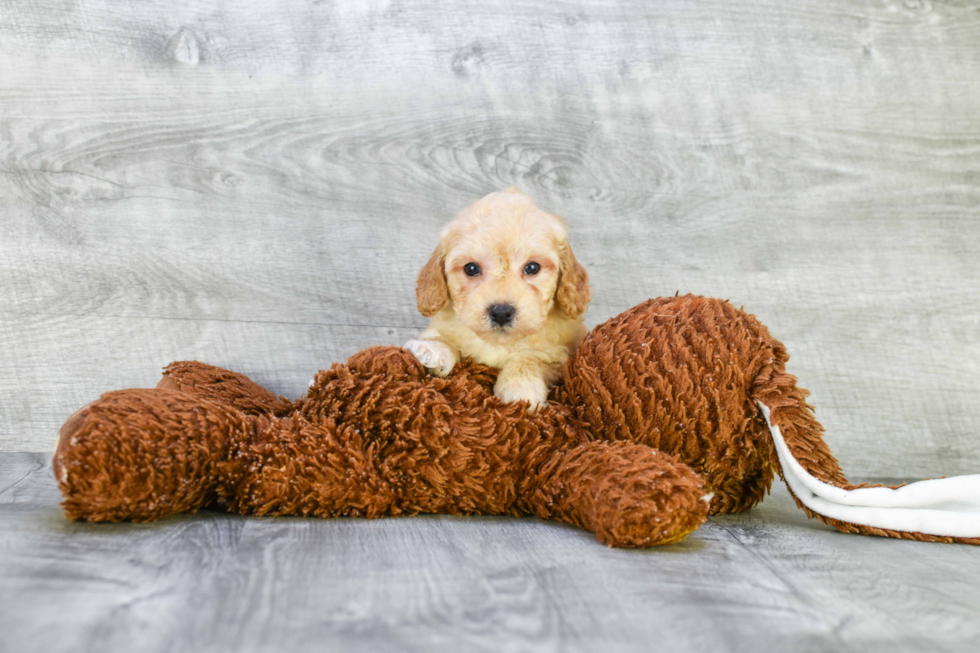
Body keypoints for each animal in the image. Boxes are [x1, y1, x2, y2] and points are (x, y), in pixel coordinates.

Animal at [404, 187, 588, 408]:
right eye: (471, 268)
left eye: (532, 267)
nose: (501, 313)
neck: (499, 343)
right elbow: (445, 340)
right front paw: (432, 350)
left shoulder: (562, 354)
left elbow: (531, 358)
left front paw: (520, 392)